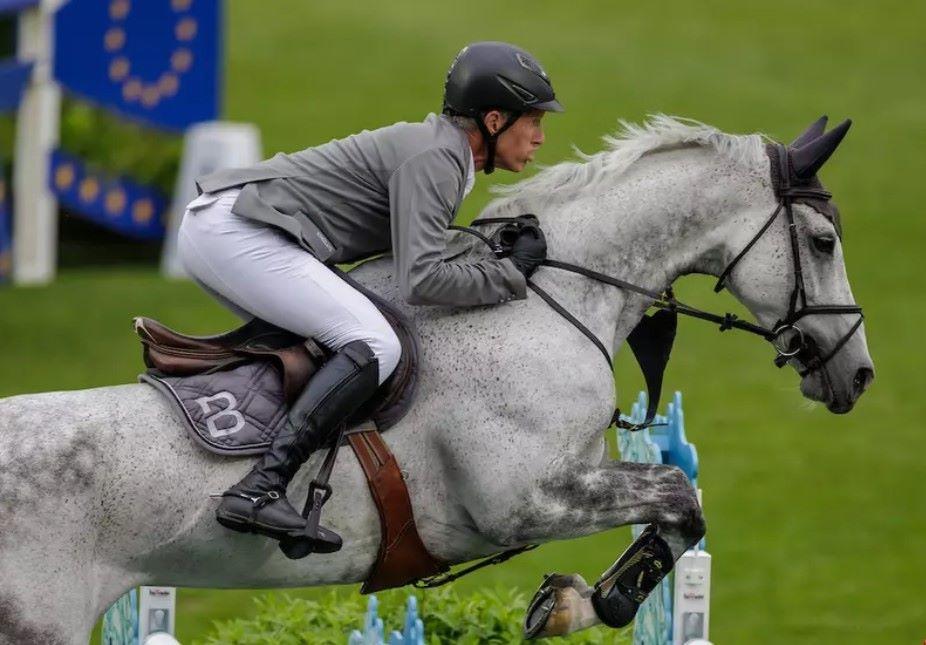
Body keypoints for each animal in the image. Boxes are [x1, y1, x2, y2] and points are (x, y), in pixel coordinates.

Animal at [0, 117, 872, 644]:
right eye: (823, 240)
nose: (858, 374)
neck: (546, 299)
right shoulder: (524, 498)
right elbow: (679, 497)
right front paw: (590, 601)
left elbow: (677, 502)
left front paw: (571, 599)